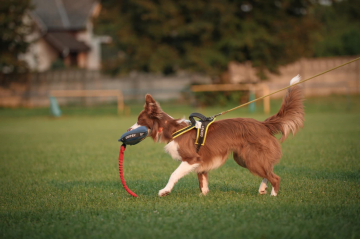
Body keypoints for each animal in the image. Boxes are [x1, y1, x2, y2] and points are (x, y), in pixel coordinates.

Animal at [127, 75, 304, 197]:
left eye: (140, 121)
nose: (128, 128)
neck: (172, 129)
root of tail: (263, 124)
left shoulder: (191, 158)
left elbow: (174, 174)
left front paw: (165, 191)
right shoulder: (201, 160)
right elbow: (202, 179)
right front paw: (204, 195)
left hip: (250, 157)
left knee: (275, 177)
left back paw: (273, 195)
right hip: (243, 157)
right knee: (268, 169)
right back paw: (263, 188)